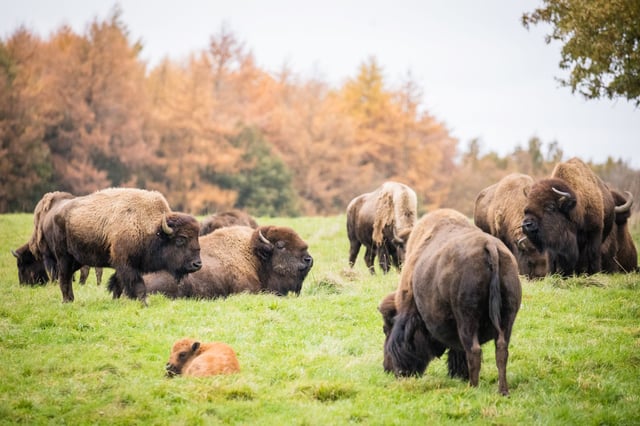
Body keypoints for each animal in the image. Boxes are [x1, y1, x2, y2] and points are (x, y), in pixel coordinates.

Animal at [28, 188, 202, 303]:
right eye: (181, 239)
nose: (197, 264)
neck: (153, 228)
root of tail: (55, 213)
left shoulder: (123, 264)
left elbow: (118, 284)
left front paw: (116, 300)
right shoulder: (127, 264)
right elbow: (137, 284)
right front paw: (144, 303)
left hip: (77, 260)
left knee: (68, 276)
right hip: (63, 257)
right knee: (64, 277)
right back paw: (68, 301)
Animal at [381, 209, 522, 395]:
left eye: (386, 329)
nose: (389, 369)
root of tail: (489, 246)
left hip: (467, 320)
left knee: (474, 351)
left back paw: (473, 387)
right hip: (508, 318)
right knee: (501, 350)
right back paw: (502, 391)